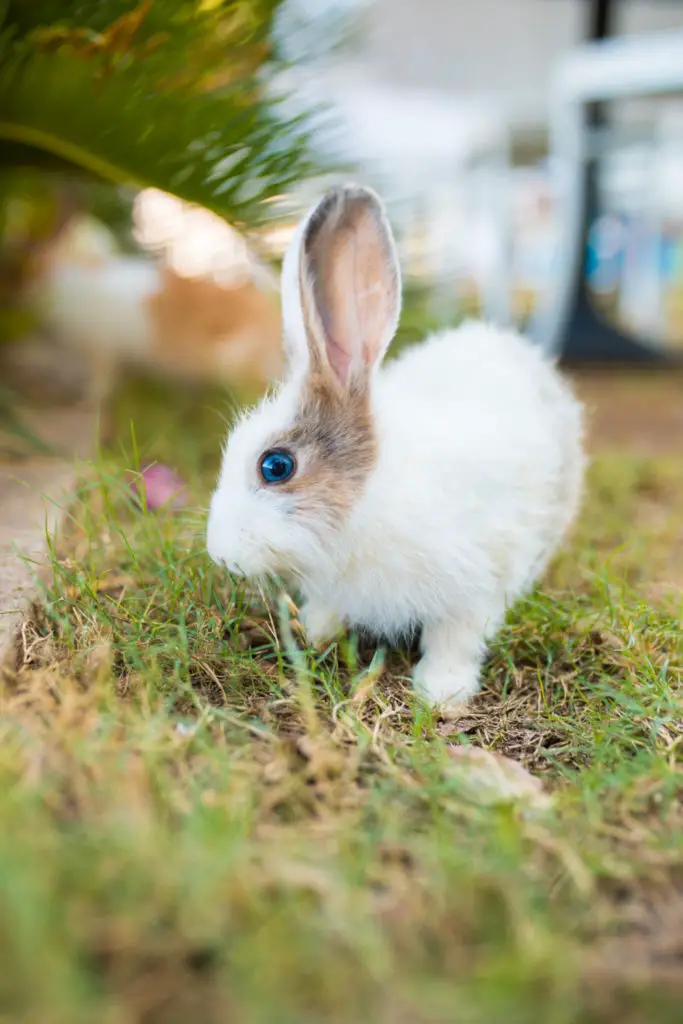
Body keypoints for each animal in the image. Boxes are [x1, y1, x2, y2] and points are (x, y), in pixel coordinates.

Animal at [205, 184, 585, 708]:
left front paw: (442, 691)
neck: (368, 499)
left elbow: (455, 639)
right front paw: (311, 633)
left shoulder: (475, 587)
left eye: (276, 466)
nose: (219, 554)